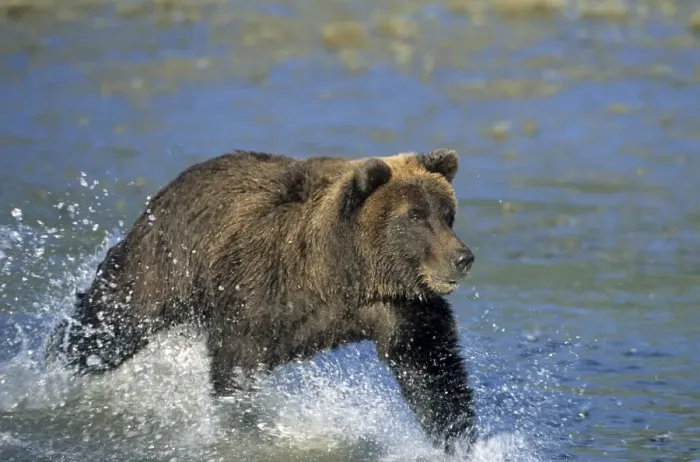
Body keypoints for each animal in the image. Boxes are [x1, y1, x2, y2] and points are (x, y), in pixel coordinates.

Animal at [45, 148, 477, 454]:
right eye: (415, 215)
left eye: (447, 213)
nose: (462, 257)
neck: (336, 275)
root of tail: (169, 188)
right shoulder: (256, 290)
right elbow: (235, 369)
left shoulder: (396, 304)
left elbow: (429, 365)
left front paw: (458, 439)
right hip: (162, 264)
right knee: (112, 323)